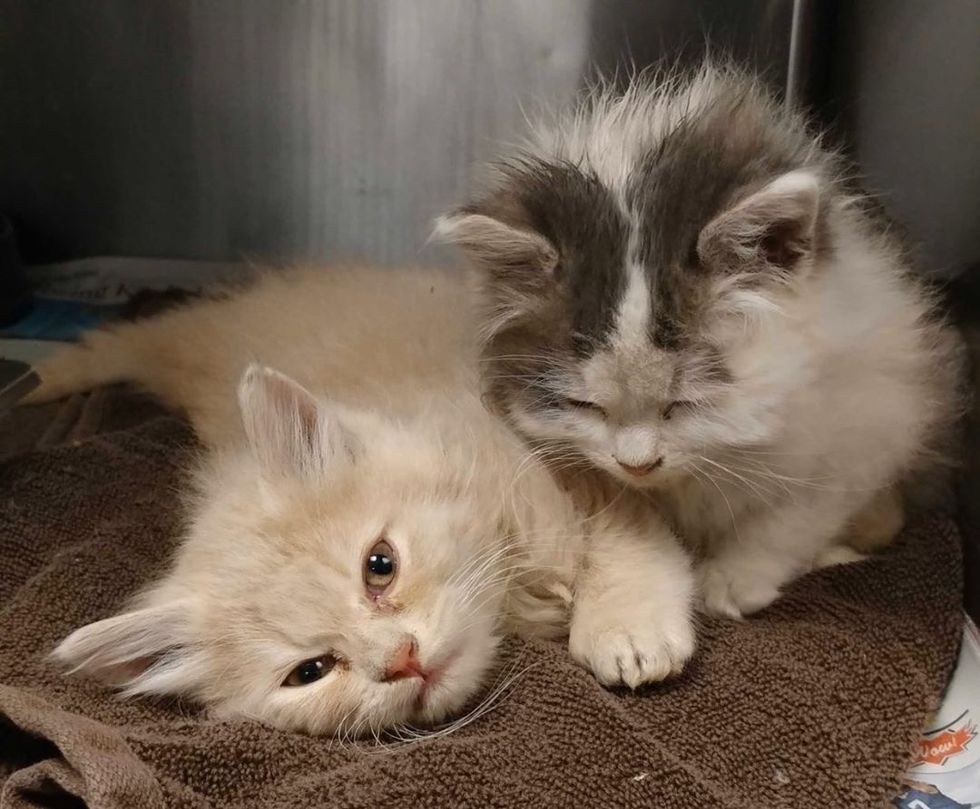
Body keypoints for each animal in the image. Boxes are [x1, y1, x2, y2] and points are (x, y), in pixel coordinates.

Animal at [34, 266, 692, 740]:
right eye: (311, 671)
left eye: (380, 566)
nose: (401, 659)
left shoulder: (565, 455)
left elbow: (622, 529)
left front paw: (628, 629)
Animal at [438, 64, 964, 620]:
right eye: (586, 406)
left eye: (686, 403)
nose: (639, 465)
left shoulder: (871, 409)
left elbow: (796, 513)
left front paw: (735, 579)